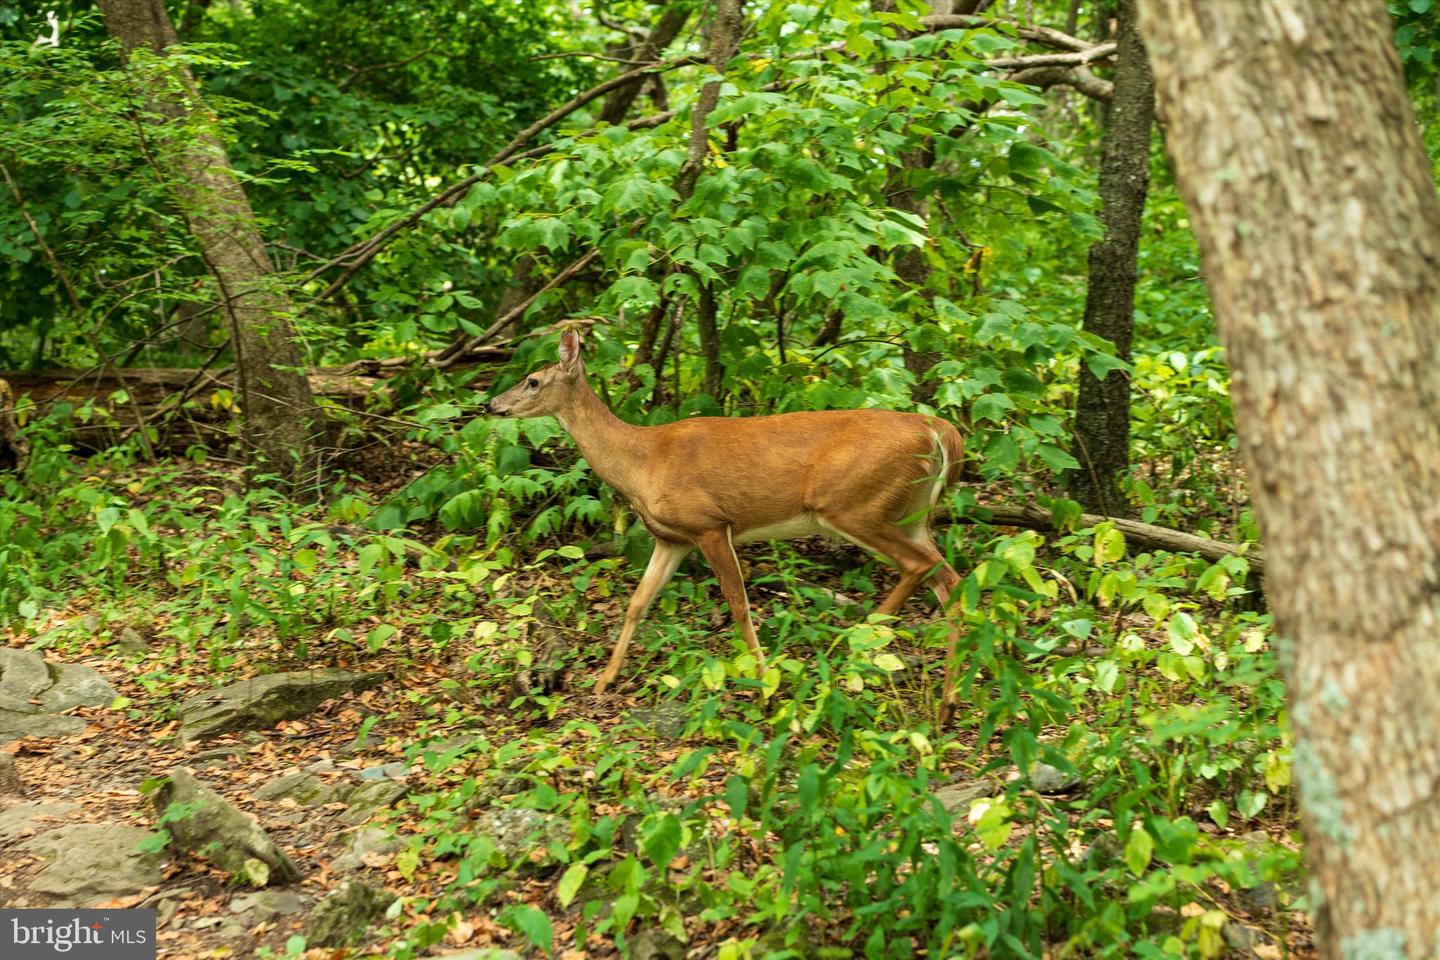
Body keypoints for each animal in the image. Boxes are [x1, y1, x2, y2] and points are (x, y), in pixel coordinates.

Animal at [486, 331, 967, 719]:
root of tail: (939, 430)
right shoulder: (671, 538)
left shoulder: (711, 524)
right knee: (951, 581)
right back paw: (947, 704)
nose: (491, 404)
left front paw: (766, 685)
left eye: (533, 380)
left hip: (853, 505)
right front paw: (605, 681)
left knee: (918, 568)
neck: (643, 461)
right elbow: (638, 603)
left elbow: (738, 604)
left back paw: (855, 643)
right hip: (910, 513)